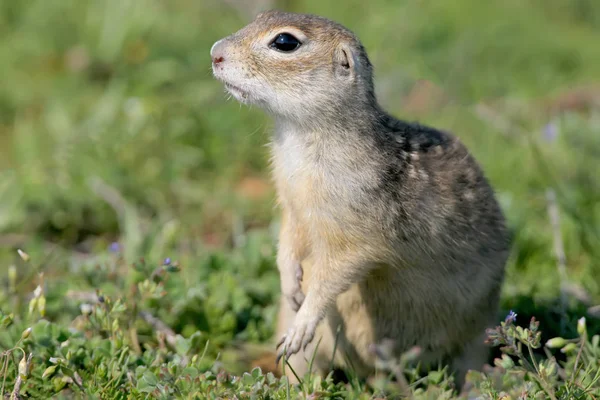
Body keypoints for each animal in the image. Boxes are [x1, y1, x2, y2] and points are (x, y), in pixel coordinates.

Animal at [211, 9, 510, 390]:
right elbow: (289, 239)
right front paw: (290, 284)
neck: (300, 136)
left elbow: (334, 273)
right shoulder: (292, 206)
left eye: (285, 42)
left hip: (477, 331)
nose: (215, 53)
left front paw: (304, 318)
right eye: (262, 15)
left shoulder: (355, 234)